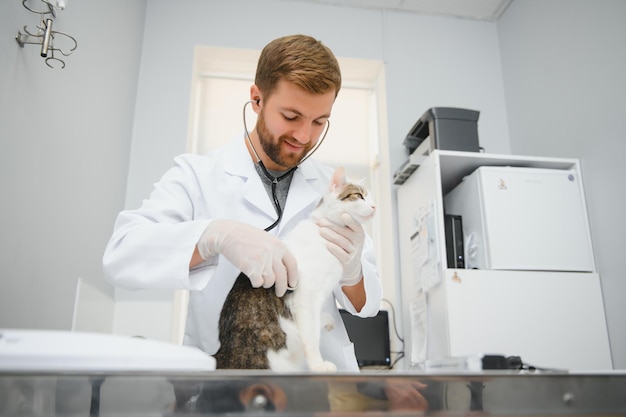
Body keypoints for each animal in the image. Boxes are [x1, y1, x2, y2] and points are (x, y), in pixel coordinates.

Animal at [214, 166, 372, 370]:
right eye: (359, 196)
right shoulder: (306, 298)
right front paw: (318, 365)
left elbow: (313, 325)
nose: (374, 206)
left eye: (371, 198)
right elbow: (311, 336)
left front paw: (325, 322)